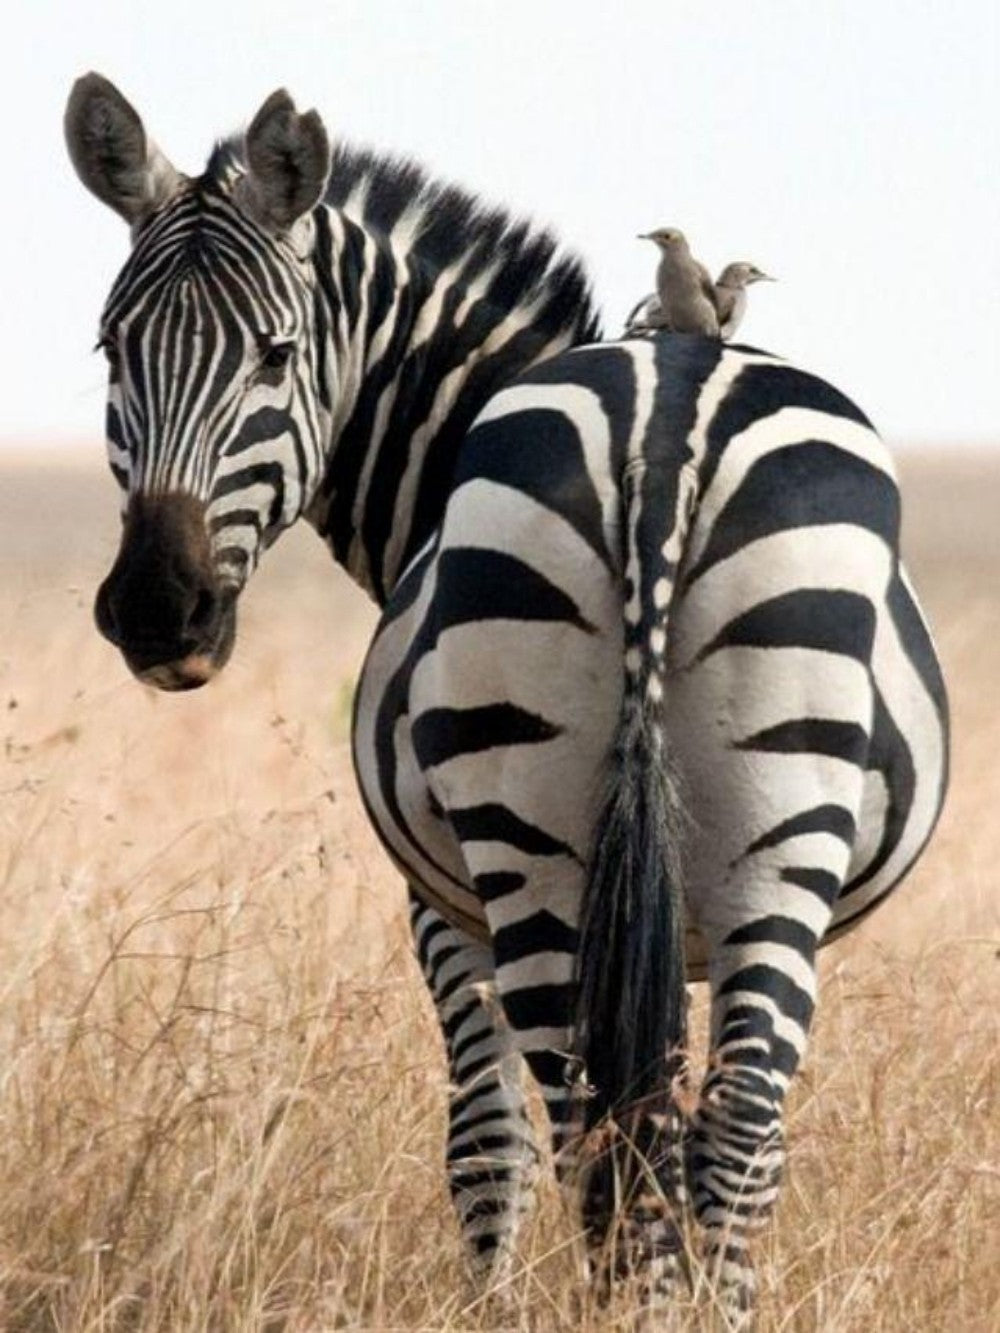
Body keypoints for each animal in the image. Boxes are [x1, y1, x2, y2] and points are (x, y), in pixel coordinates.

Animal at [64, 74, 948, 1323]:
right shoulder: (573, 917)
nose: (156, 609)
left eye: (276, 355)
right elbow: (590, 1128)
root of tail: (663, 427)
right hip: (722, 844)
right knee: (698, 1135)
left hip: (576, 842)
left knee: (620, 1133)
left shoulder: (449, 910)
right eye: (111, 349)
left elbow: (490, 1139)